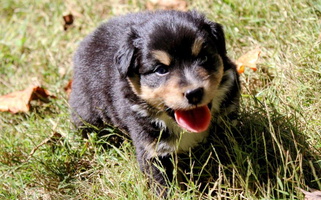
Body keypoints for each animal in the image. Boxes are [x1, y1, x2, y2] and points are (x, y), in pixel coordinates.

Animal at [70, 10, 240, 196]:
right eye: (161, 70)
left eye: (203, 57)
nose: (194, 93)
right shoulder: (152, 150)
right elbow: (162, 183)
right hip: (86, 112)